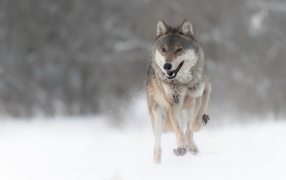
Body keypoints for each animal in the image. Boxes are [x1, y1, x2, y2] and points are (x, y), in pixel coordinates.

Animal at [147, 19, 210, 163]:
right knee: (157, 148)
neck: (183, 82)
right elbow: (179, 129)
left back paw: (192, 146)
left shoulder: (204, 92)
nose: (167, 66)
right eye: (163, 49)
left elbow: (194, 125)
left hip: (188, 108)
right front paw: (181, 148)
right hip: (158, 118)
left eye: (179, 50)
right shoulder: (174, 103)